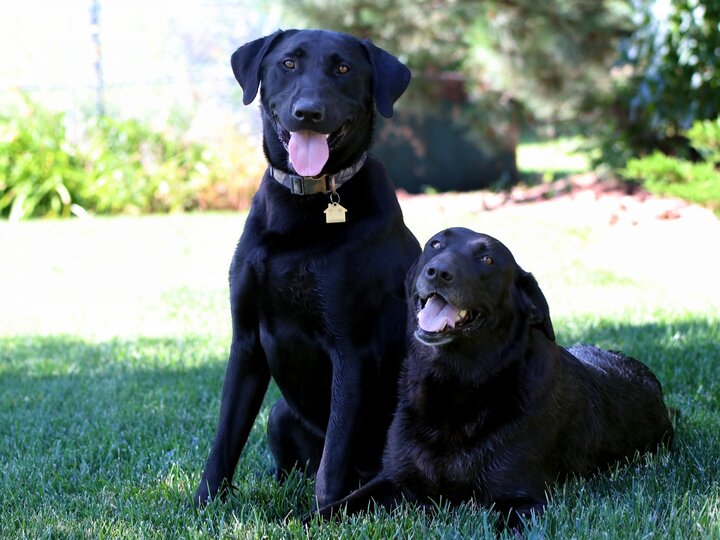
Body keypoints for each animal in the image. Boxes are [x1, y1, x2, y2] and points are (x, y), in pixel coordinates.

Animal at [194, 30, 424, 510]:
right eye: (288, 64)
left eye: (343, 69)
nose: (309, 113)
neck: (303, 207)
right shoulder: (246, 342)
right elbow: (224, 440)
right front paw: (203, 505)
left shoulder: (350, 352)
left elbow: (331, 462)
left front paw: (322, 514)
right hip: (280, 414)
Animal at [316, 228, 676, 528]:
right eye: (435, 244)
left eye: (487, 259)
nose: (438, 272)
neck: (454, 385)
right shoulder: (391, 479)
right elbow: (331, 510)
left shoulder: (522, 501)